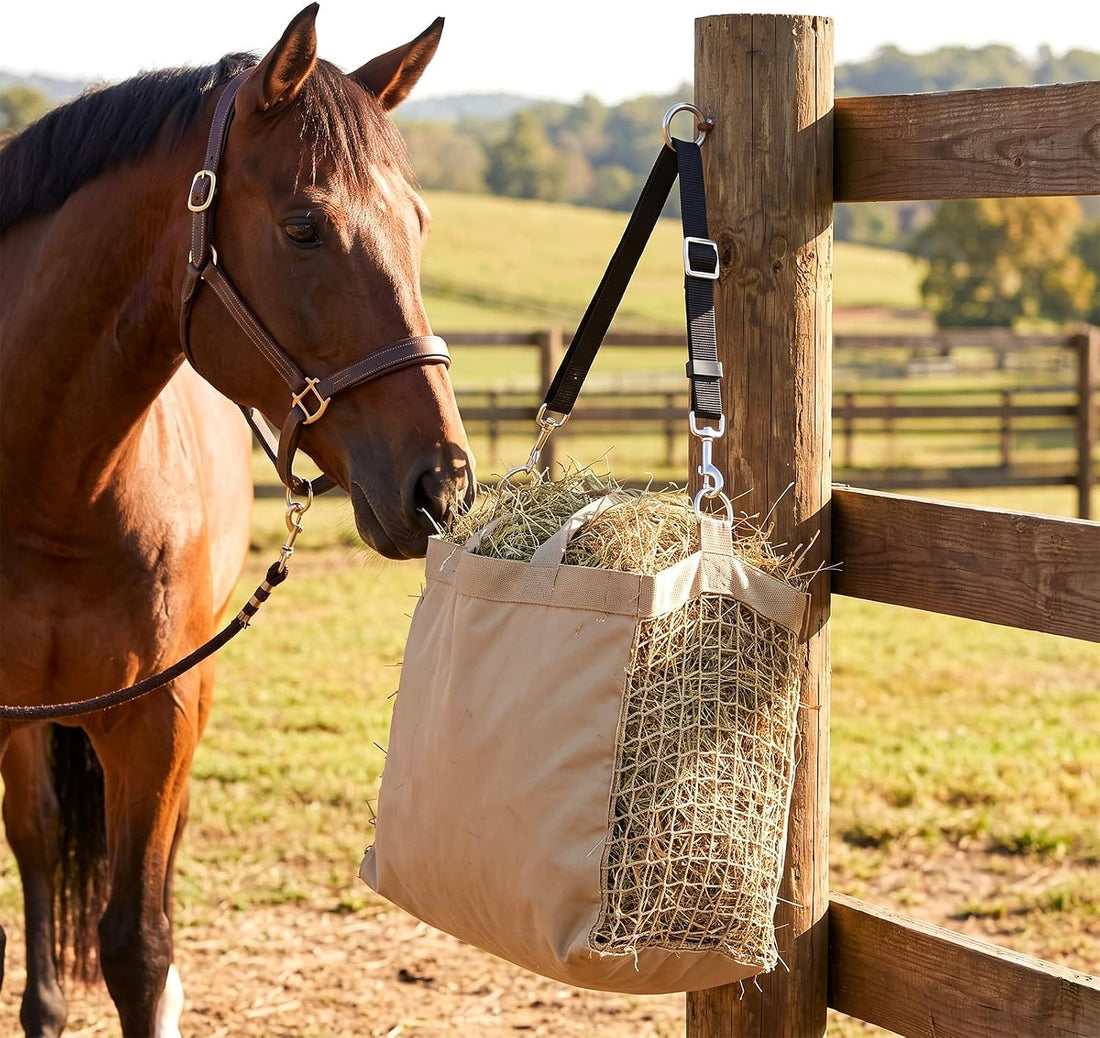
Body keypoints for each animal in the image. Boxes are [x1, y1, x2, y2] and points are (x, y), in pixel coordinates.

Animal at [0, 5, 473, 1034]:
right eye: (304, 227)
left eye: (419, 224)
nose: (444, 487)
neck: (48, 491)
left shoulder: (158, 713)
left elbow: (138, 948)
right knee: (41, 835)